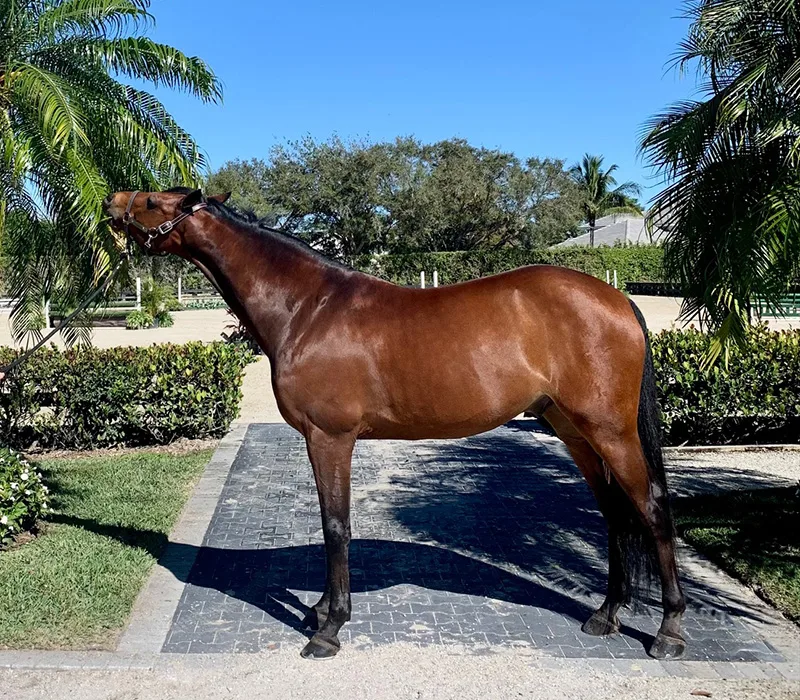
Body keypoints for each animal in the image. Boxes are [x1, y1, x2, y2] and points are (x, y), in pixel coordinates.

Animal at [101, 189, 688, 660]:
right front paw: (322, 609)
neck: (307, 308)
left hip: (611, 432)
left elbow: (336, 526)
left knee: (652, 510)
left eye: (153, 201)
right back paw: (606, 616)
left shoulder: (330, 439)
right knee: (615, 513)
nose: (111, 201)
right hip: (573, 430)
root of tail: (615, 297)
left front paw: (328, 629)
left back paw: (669, 631)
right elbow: (331, 525)